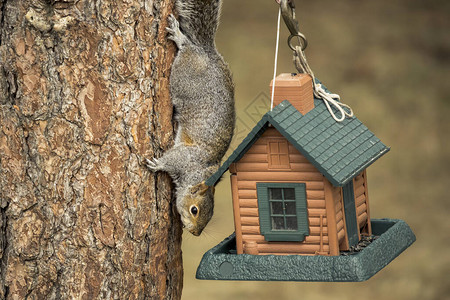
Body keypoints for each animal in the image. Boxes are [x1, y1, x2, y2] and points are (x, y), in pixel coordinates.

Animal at [146, 0, 236, 237]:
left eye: (210, 216)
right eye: (194, 210)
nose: (195, 233)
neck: (198, 172)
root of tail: (205, 51)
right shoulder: (185, 158)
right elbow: (169, 160)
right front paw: (157, 164)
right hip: (183, 73)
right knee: (186, 45)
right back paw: (179, 36)